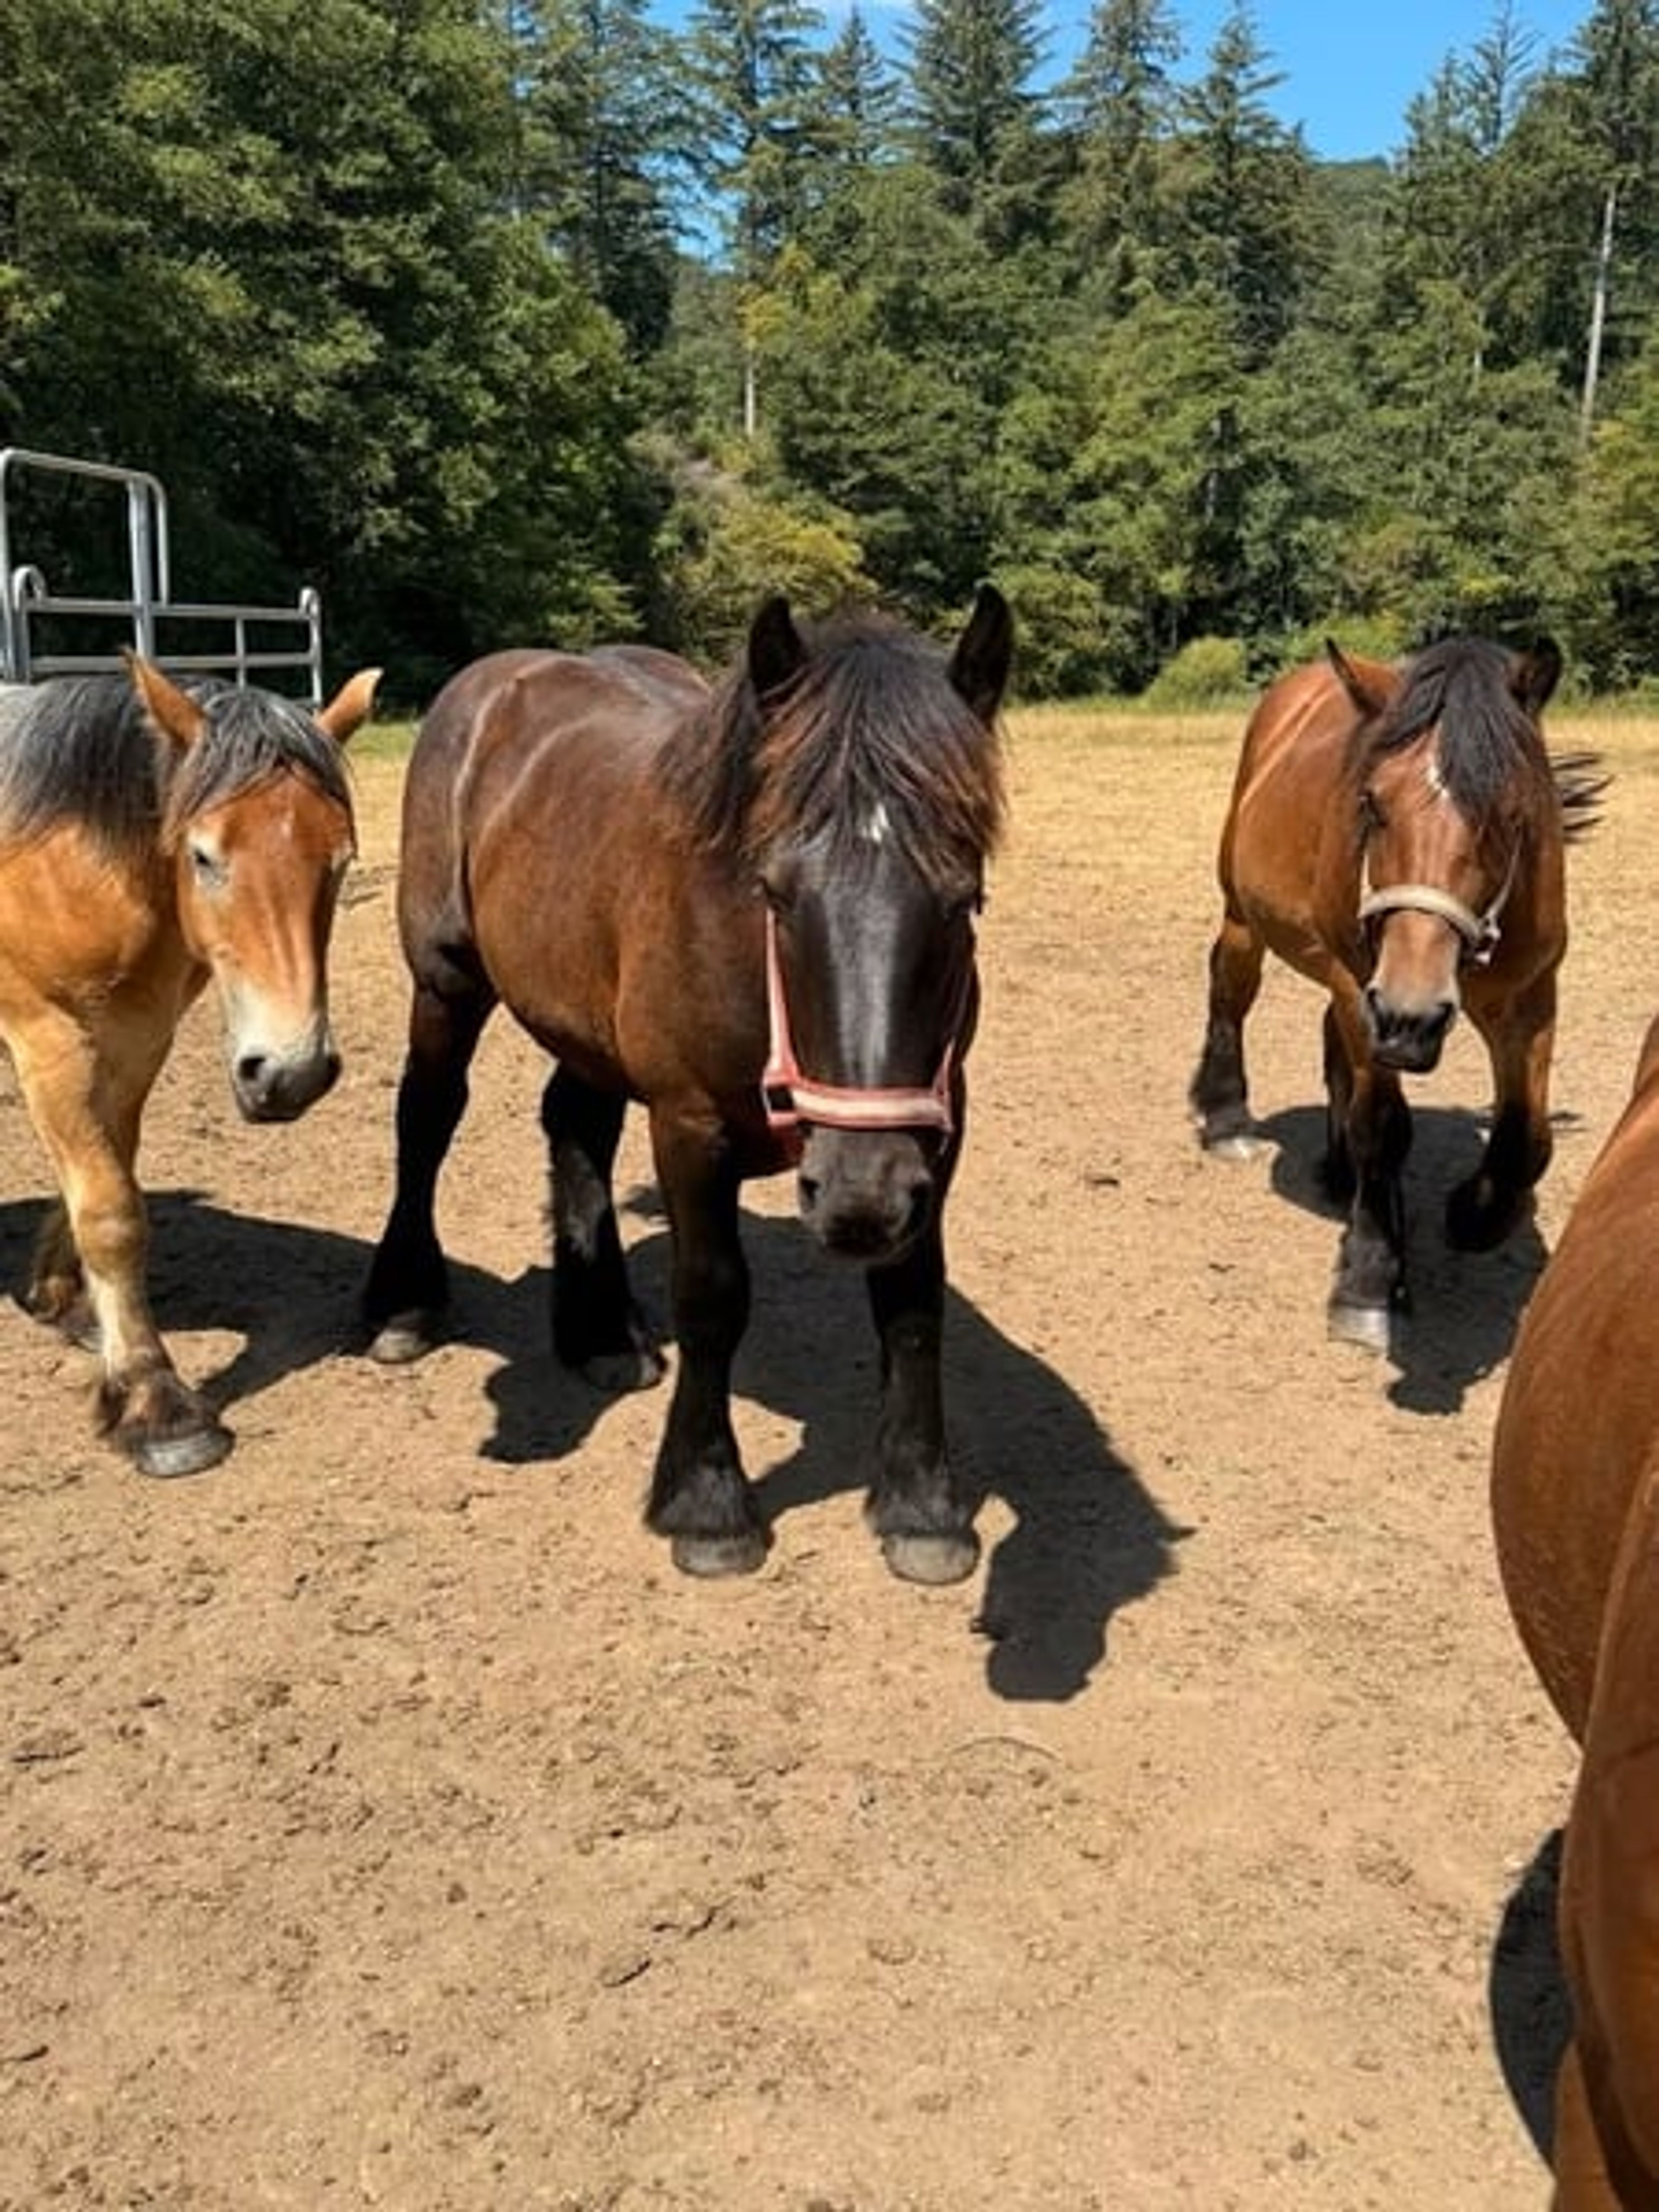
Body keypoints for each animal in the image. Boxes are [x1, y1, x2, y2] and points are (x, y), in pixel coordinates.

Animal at [0, 656, 380, 1476]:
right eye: (203, 857)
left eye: (338, 864)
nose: (292, 1073)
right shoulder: (48, 1039)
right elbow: (110, 1210)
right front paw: (156, 1403)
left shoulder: (136, 1039)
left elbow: (109, 1172)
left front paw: (68, 1303)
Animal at [362, 587, 1012, 1584]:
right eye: (775, 892)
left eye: (963, 897)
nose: (858, 1199)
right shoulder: (689, 1124)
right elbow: (712, 1296)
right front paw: (708, 1503)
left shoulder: (935, 1132)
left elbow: (911, 1298)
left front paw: (922, 1503)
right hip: (447, 981)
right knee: (426, 1120)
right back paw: (403, 1304)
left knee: (573, 1125)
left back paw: (598, 1332)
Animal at [1188, 634, 1601, 1350]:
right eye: (1372, 803)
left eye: (1511, 813)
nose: (1412, 1014)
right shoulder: (1364, 989)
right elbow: (1382, 1126)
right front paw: (1372, 1280)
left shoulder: (1530, 998)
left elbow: (1525, 1137)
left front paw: (1473, 1213)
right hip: (1249, 920)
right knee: (1231, 994)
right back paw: (1227, 1119)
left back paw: (1338, 1172)